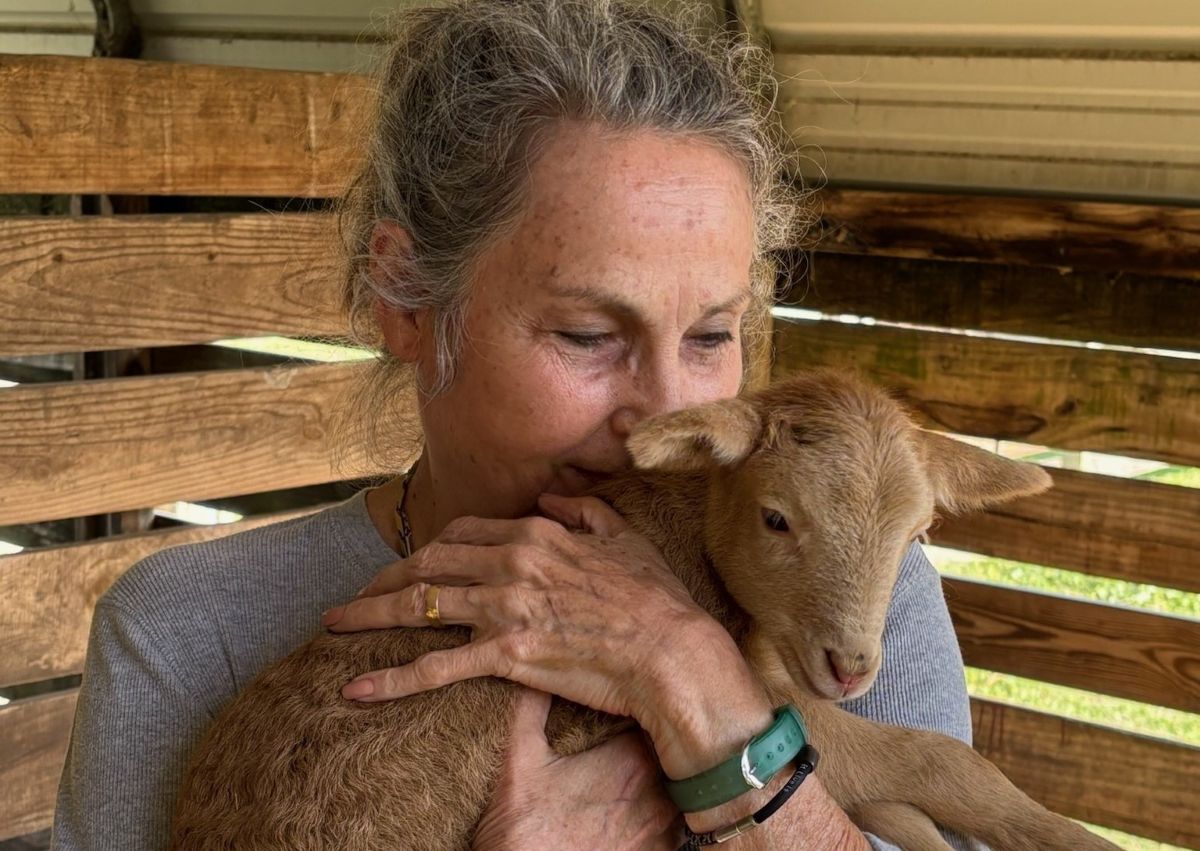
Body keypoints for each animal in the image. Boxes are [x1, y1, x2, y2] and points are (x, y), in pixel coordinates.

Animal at [170, 369, 1119, 851]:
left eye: (918, 532)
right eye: (777, 517)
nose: (851, 663)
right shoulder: (773, 695)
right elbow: (937, 759)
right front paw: (1069, 838)